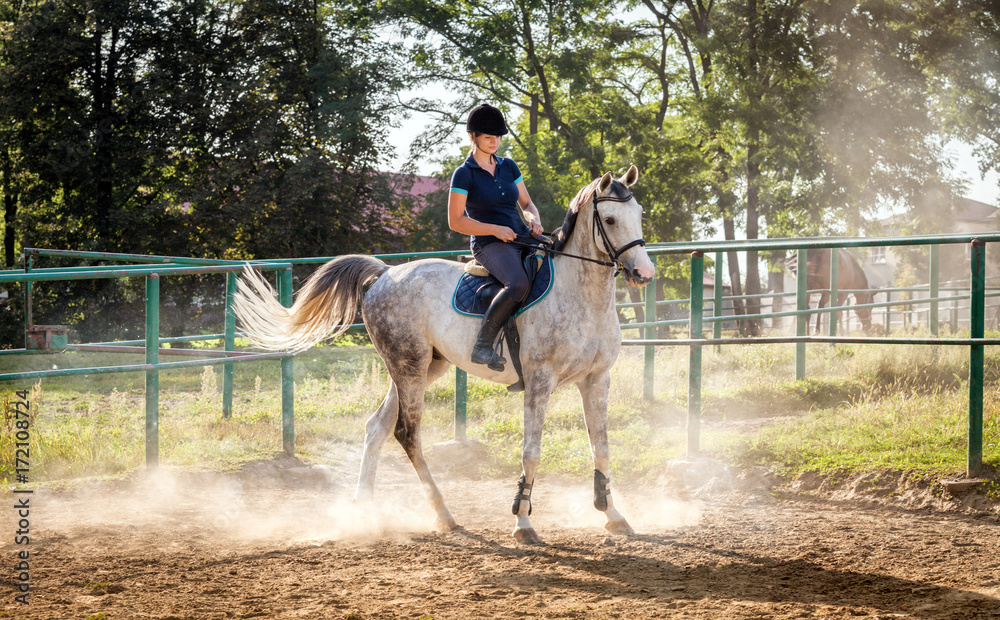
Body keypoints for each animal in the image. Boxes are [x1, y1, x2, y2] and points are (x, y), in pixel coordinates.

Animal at [234, 165, 656, 544]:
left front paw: (614, 516)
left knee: (376, 427)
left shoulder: (596, 380)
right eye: (611, 219)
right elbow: (531, 453)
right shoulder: (540, 381)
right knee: (407, 433)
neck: (581, 296)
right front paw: (522, 522)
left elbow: (602, 448)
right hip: (409, 367)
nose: (644, 273)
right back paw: (443, 514)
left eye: (639, 215)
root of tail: (384, 274)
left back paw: (364, 510)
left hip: (419, 369)